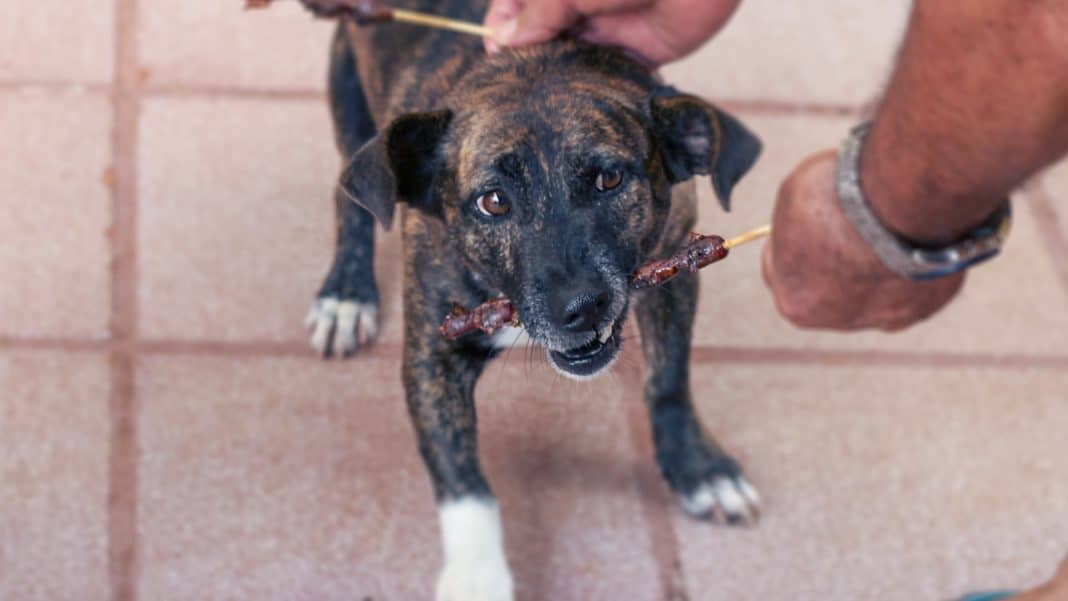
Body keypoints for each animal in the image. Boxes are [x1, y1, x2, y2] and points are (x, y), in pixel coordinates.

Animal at [305, 2, 764, 597]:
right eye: (493, 202)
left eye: (609, 178)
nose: (581, 307)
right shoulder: (433, 355)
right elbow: (464, 481)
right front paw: (477, 575)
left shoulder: (676, 272)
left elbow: (669, 381)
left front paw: (698, 467)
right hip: (349, 99)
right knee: (350, 204)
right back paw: (346, 294)